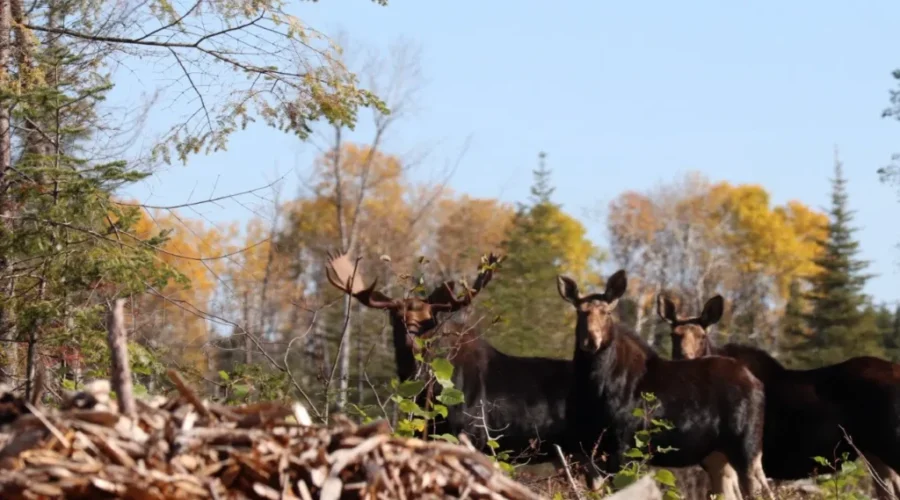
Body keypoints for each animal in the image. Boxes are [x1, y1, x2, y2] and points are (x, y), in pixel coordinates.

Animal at [558, 270, 773, 500]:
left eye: (607, 312)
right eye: (579, 312)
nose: (591, 341)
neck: (594, 386)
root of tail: (757, 383)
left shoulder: (625, 445)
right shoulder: (588, 451)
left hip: (746, 446)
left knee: (761, 489)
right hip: (717, 455)